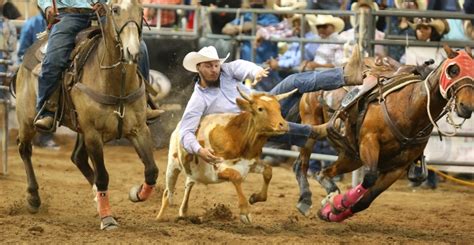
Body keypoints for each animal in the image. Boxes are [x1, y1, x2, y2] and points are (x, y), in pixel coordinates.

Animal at [12, 0, 157, 230]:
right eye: (115, 10)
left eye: (141, 10)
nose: (132, 51)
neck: (114, 82)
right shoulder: (93, 134)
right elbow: (103, 176)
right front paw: (107, 220)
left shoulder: (139, 129)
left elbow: (151, 170)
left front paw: (136, 194)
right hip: (27, 120)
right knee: (24, 149)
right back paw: (33, 198)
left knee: (78, 158)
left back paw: (97, 199)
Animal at [294, 45, 472, 222]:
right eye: (453, 70)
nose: (467, 107)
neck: (409, 107)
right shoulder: (369, 142)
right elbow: (369, 177)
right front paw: (339, 204)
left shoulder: (397, 168)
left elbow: (365, 201)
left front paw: (332, 210)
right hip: (311, 122)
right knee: (301, 164)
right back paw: (305, 198)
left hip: (352, 157)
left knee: (323, 173)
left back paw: (330, 195)